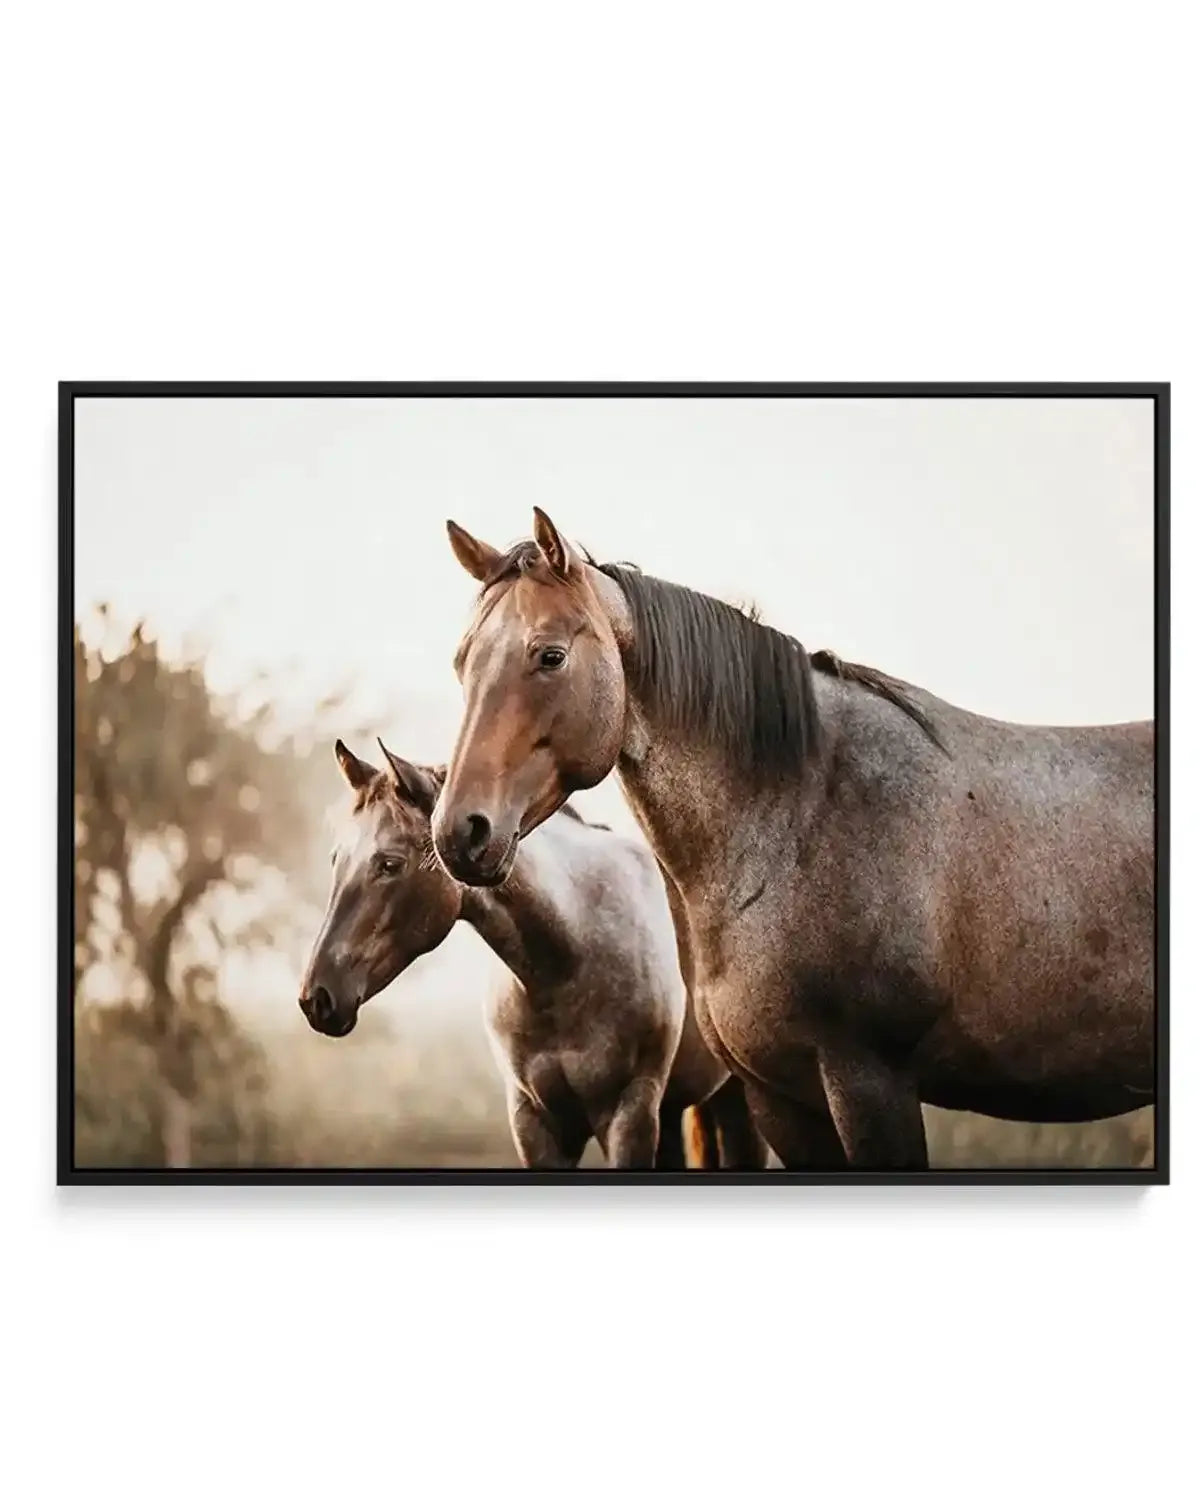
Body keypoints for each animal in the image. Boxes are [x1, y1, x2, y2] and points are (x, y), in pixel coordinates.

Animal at [298, 738, 767, 1170]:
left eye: (390, 864)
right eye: (336, 859)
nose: (316, 998)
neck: (568, 963)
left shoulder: (628, 1114)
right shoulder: (535, 1122)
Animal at [431, 508, 1155, 1171]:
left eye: (549, 656)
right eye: (462, 664)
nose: (460, 832)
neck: (798, 818)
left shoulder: (870, 1083)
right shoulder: (780, 1097)